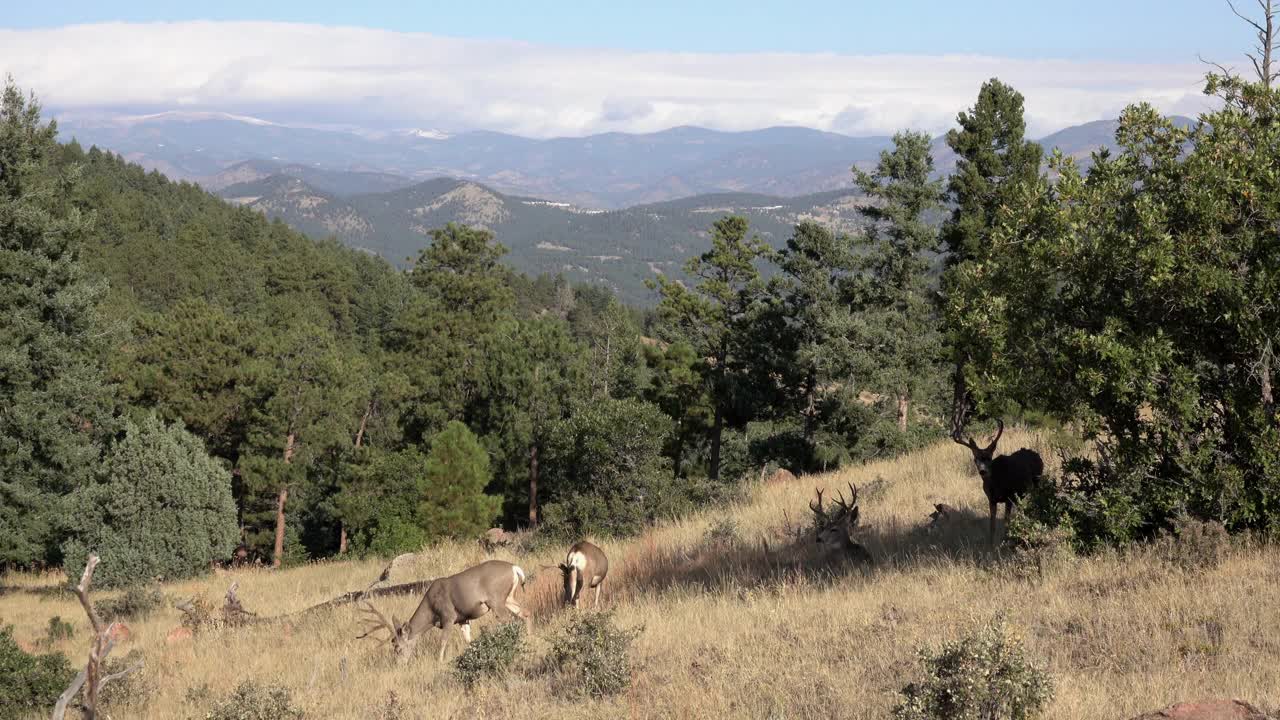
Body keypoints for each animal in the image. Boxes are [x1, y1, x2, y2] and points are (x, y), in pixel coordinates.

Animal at [957, 415, 1044, 543]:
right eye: (975, 459)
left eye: (989, 458)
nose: (983, 471)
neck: (996, 485)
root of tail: (1037, 455)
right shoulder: (991, 499)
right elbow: (992, 525)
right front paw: (991, 544)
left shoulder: (1009, 496)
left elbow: (1006, 522)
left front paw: (1006, 540)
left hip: (1037, 482)